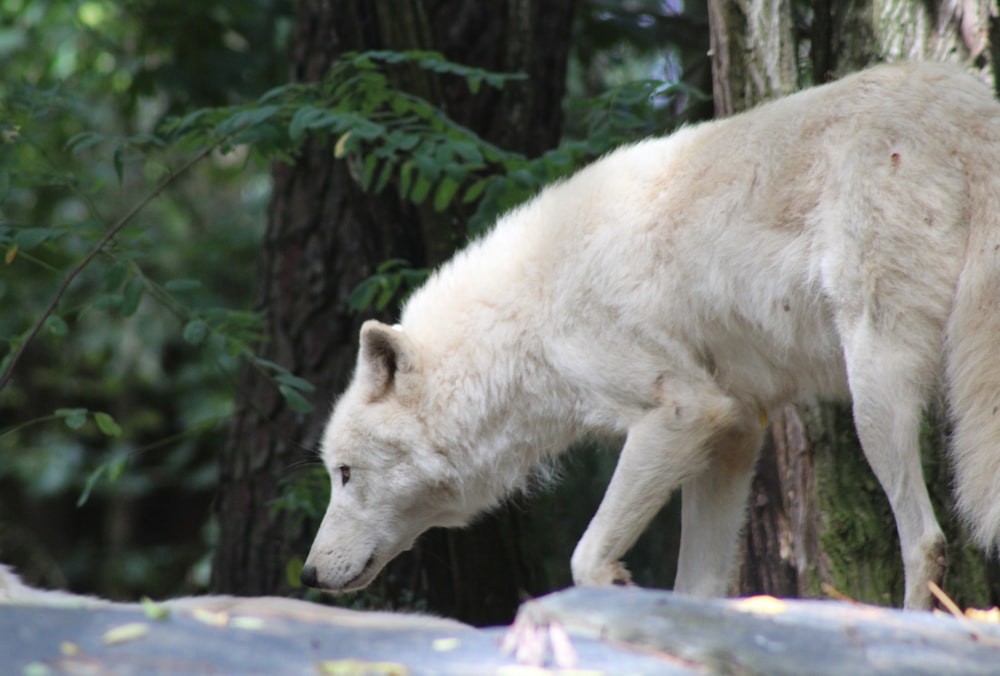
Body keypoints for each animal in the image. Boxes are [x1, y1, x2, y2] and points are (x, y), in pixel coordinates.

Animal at [300, 63, 1000, 608]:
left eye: (344, 473)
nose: (306, 574)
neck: (525, 317)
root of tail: (968, 105)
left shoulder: (682, 412)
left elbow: (585, 557)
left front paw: (616, 590)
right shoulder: (735, 431)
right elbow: (699, 588)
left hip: (874, 395)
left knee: (926, 541)